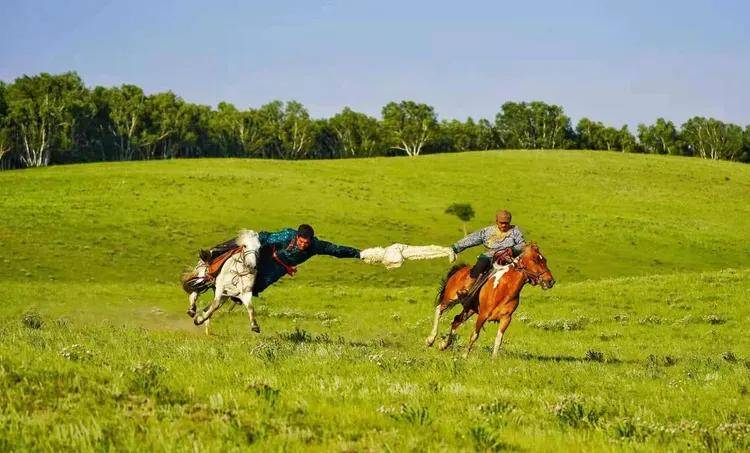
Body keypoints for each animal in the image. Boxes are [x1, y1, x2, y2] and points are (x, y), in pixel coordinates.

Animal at [425, 243, 555, 358]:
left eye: (545, 260)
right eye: (535, 260)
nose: (550, 281)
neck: (504, 288)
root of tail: (460, 270)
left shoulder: (506, 318)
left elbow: (499, 339)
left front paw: (493, 359)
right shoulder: (483, 315)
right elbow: (474, 335)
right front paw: (464, 355)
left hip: (470, 309)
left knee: (456, 320)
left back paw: (443, 345)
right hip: (450, 299)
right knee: (439, 309)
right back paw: (430, 339)